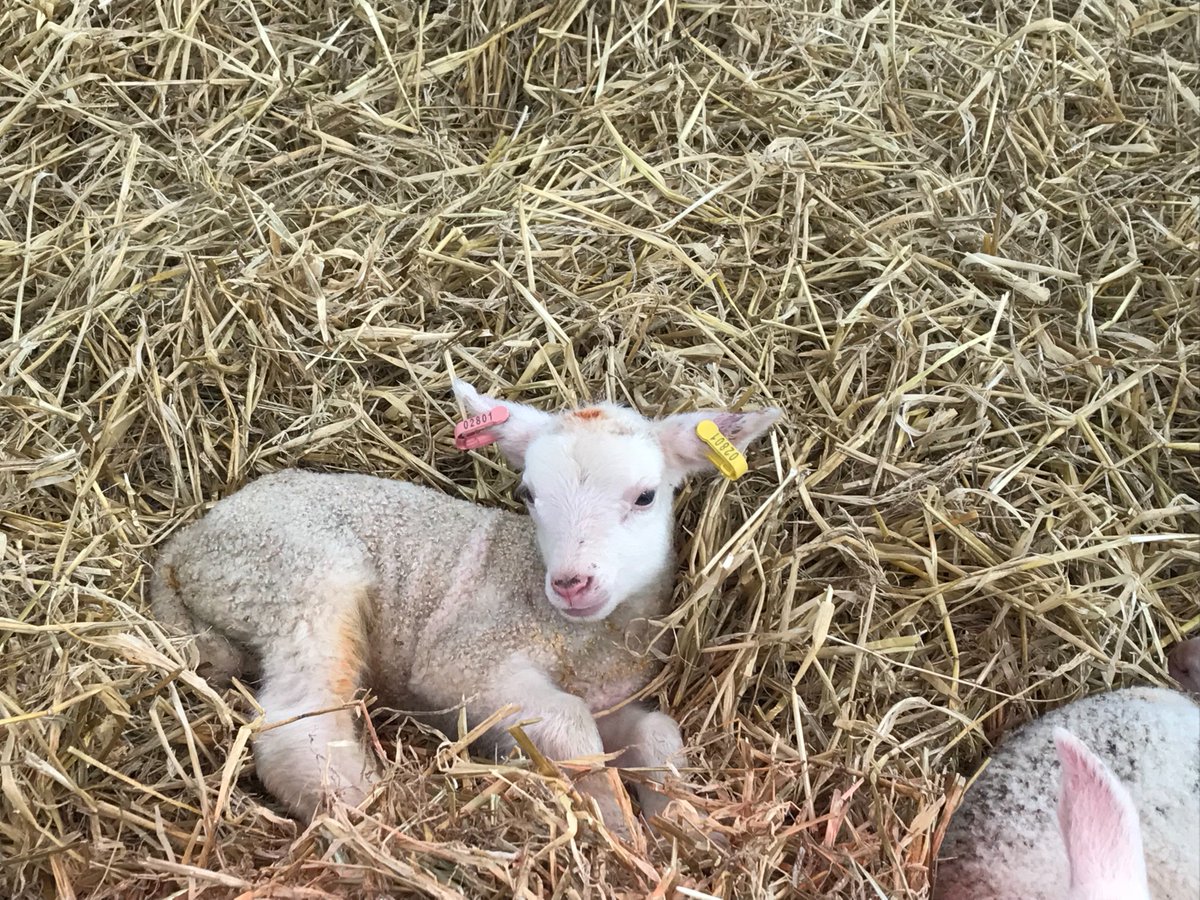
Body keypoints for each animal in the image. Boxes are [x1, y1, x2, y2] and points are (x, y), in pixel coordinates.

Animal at [149, 380, 780, 831]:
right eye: (529, 495)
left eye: (646, 496)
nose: (570, 583)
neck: (585, 639)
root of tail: (186, 547)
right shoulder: (464, 661)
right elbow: (570, 724)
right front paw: (615, 824)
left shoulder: (604, 696)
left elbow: (656, 733)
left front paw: (689, 826)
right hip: (298, 576)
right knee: (296, 726)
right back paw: (370, 814)